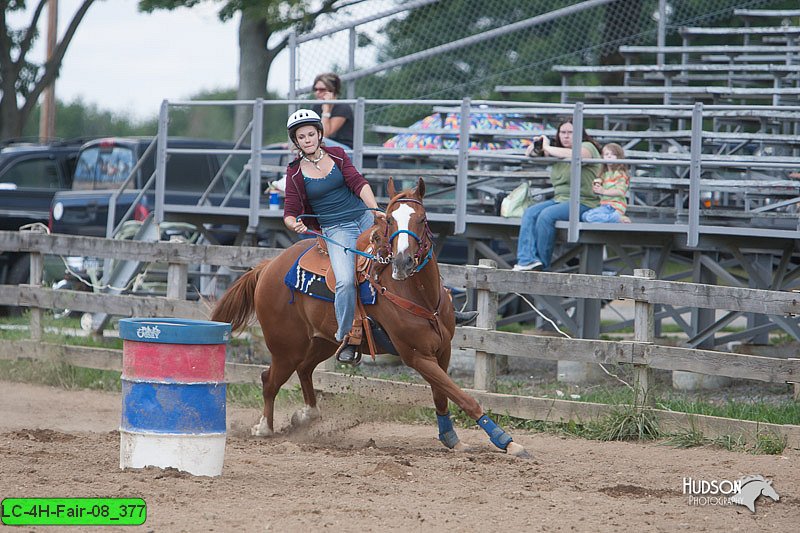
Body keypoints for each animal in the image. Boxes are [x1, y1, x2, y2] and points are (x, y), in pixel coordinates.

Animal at [209, 178, 528, 458]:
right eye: (390, 221)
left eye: (422, 219)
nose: (402, 262)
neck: (417, 294)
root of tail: (267, 266)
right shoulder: (416, 356)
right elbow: (464, 397)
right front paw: (506, 441)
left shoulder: (442, 350)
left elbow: (441, 394)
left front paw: (451, 438)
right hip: (286, 346)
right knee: (270, 380)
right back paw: (264, 428)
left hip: (324, 341)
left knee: (305, 370)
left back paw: (307, 415)